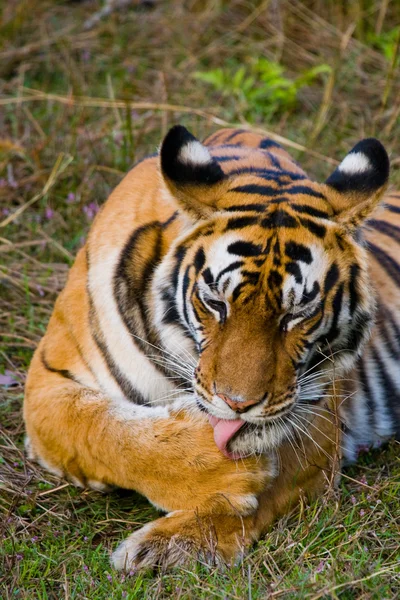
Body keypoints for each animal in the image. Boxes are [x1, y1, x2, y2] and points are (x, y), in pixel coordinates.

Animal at [24, 124, 400, 568]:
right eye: (216, 303)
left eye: (297, 314)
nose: (238, 403)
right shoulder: (48, 382)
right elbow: (106, 432)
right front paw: (224, 473)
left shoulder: (321, 426)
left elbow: (270, 488)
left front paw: (169, 543)